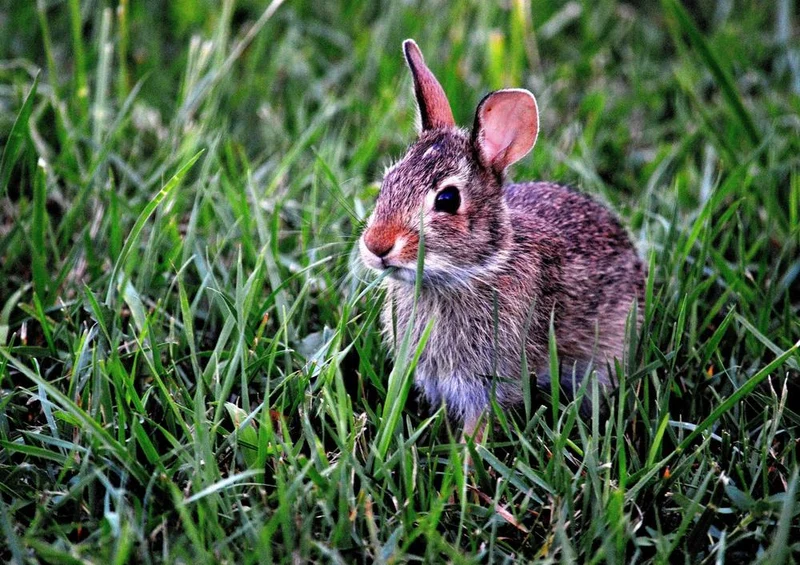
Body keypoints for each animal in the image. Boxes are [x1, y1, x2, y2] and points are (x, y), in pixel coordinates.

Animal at [358, 39, 646, 440]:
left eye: (447, 199)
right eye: (387, 181)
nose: (376, 245)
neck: (477, 269)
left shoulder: (491, 381)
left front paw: (467, 454)